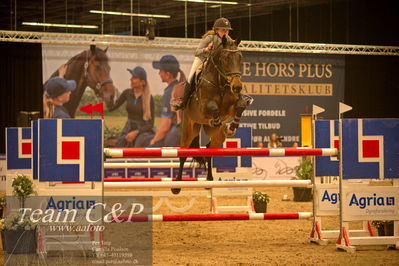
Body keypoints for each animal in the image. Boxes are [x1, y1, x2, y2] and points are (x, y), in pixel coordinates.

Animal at [173, 34, 248, 193]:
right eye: (226, 58)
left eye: (240, 57)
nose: (237, 87)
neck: (221, 83)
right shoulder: (204, 107)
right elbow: (213, 108)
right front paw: (217, 121)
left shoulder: (231, 106)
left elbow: (240, 106)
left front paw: (231, 127)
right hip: (189, 129)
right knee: (183, 154)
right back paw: (176, 185)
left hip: (216, 136)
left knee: (209, 150)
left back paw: (209, 180)